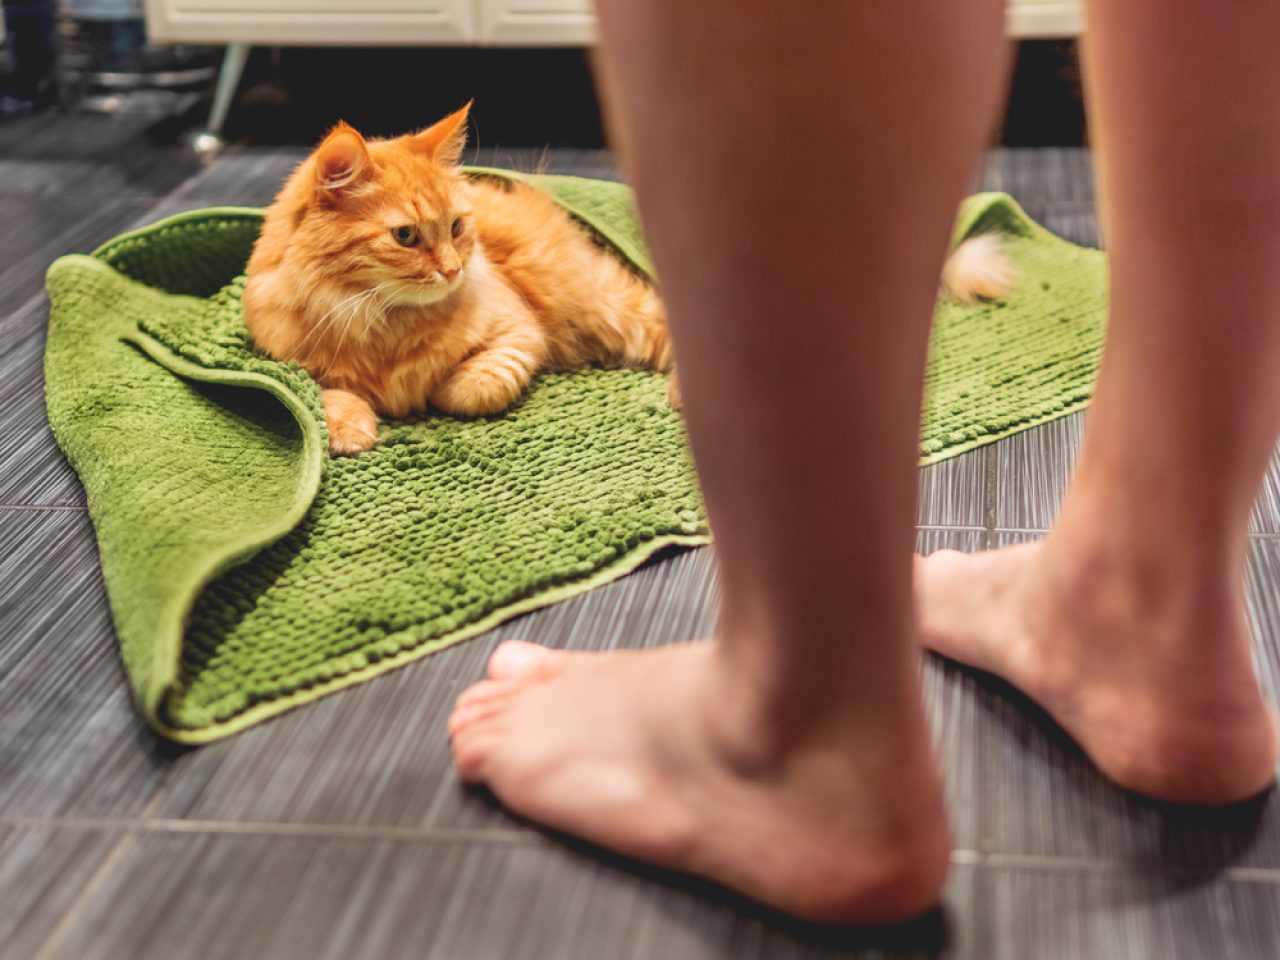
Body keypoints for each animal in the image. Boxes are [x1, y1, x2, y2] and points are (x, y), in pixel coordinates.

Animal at [244, 103, 1013, 455]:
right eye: (407, 237)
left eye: (457, 228)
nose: (454, 268)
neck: (379, 319)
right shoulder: (289, 355)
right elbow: (330, 393)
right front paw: (353, 427)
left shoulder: (518, 330)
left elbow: (473, 384)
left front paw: (432, 394)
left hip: (609, 304)